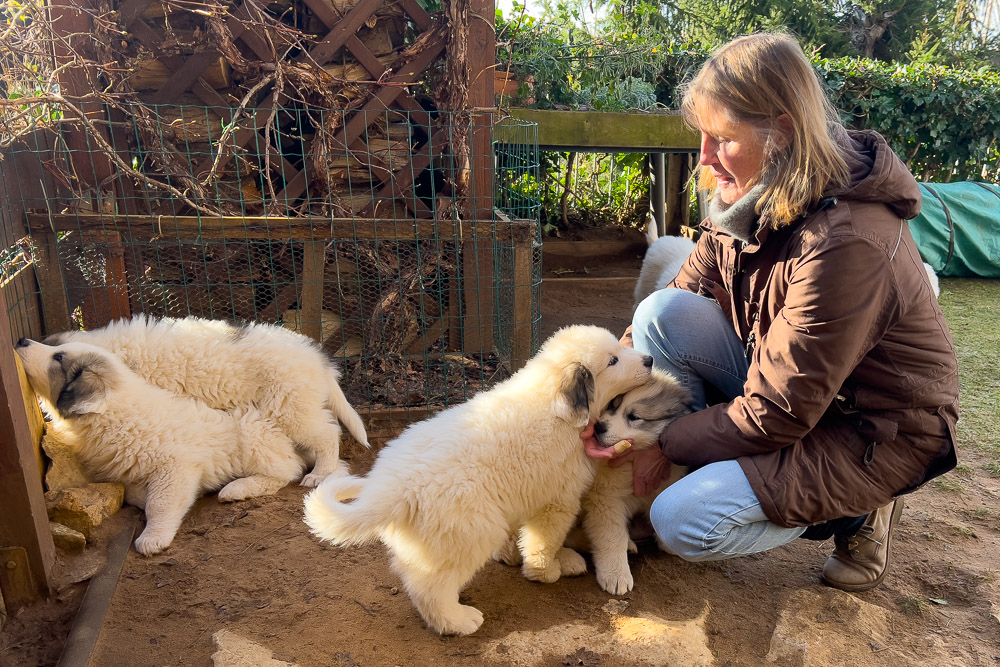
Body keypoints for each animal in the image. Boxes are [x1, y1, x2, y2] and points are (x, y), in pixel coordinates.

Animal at [14, 342, 304, 556]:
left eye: (58, 357)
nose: (21, 340)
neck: (114, 416)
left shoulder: (175, 468)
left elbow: (159, 504)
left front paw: (152, 539)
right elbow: (136, 494)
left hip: (253, 432)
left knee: (287, 471)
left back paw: (237, 489)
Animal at [304, 324, 656, 636]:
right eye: (613, 361)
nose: (650, 360)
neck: (556, 408)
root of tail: (390, 490)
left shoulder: (520, 492)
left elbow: (522, 535)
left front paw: (524, 557)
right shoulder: (557, 501)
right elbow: (545, 541)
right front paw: (547, 570)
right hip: (469, 532)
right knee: (430, 588)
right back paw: (457, 621)